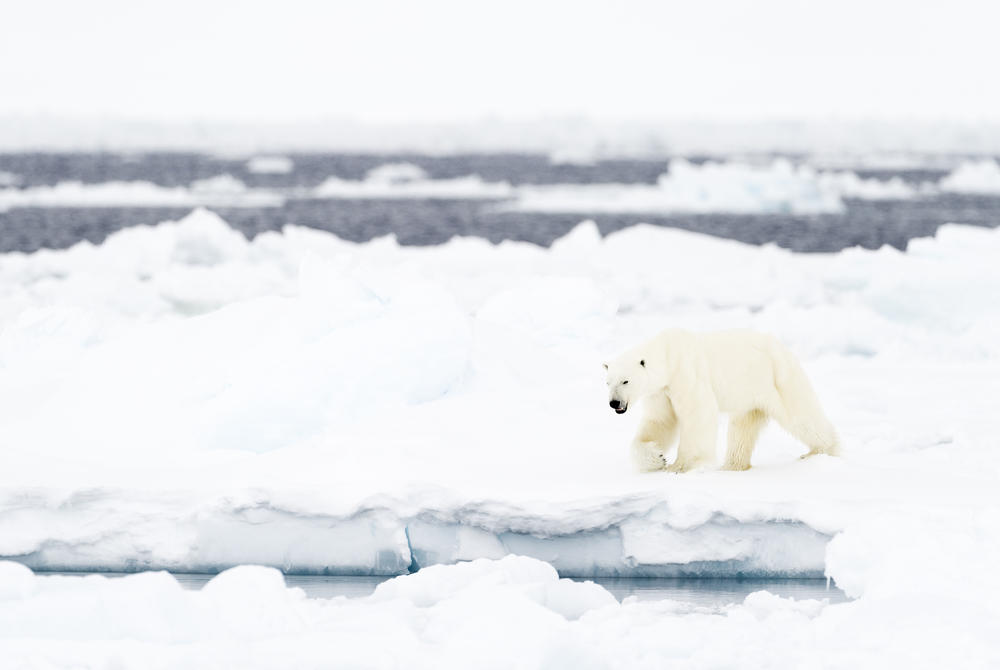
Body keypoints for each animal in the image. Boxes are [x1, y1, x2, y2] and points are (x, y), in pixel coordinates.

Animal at [604, 330, 840, 472]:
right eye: (607, 382)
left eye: (625, 381)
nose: (614, 403)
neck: (669, 355)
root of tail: (783, 348)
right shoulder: (661, 392)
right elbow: (660, 422)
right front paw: (657, 457)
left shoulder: (687, 374)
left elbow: (698, 415)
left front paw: (680, 466)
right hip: (749, 393)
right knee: (742, 429)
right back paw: (733, 465)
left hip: (778, 378)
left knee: (801, 416)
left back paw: (822, 452)